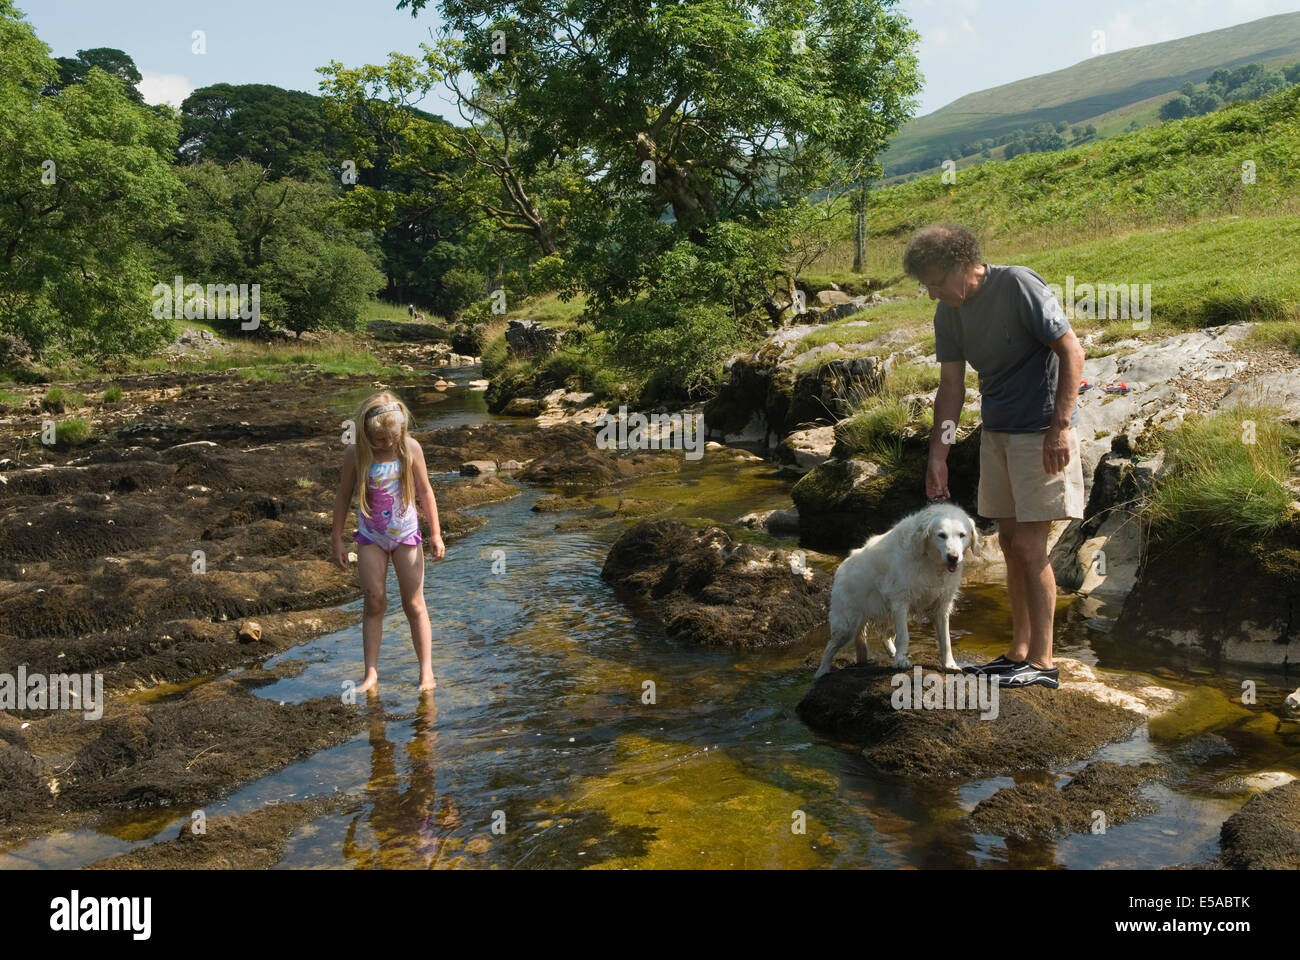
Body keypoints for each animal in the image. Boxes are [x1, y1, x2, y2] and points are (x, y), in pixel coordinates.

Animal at [811, 502, 977, 671]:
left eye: (962, 535)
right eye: (941, 535)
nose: (953, 557)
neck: (929, 560)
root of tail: (840, 568)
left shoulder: (941, 605)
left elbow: (945, 639)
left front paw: (949, 664)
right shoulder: (900, 601)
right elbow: (904, 636)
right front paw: (901, 661)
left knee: (884, 636)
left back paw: (891, 653)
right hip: (847, 625)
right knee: (830, 647)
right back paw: (822, 671)